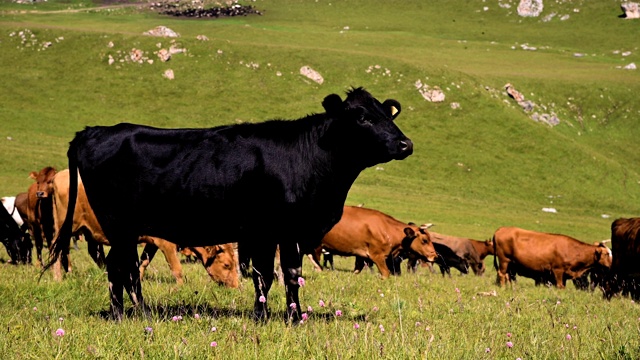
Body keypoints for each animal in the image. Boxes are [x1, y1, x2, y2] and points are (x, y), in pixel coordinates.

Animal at [50, 167, 240, 288]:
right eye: (227, 265)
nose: (236, 286)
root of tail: (58, 176)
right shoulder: (167, 244)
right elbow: (176, 268)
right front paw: (181, 287)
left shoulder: (152, 242)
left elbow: (143, 262)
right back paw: (57, 278)